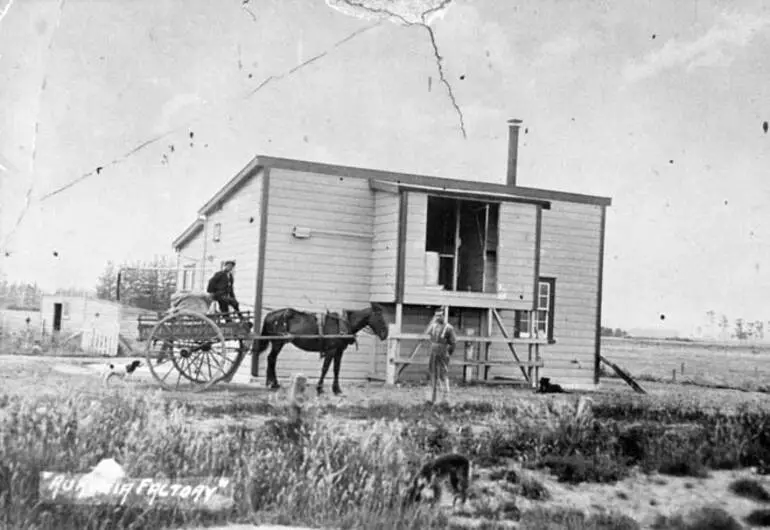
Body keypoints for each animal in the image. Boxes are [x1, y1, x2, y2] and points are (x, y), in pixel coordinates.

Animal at [252, 304, 388, 394]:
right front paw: (320, 387)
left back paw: (271, 383)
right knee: (271, 359)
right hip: (278, 343)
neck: (343, 325)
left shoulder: (339, 351)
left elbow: (336, 369)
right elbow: (325, 368)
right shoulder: (331, 351)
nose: (385, 334)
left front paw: (336, 389)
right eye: (379, 317)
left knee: (271, 359)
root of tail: (270, 315)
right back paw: (273, 383)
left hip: (278, 343)